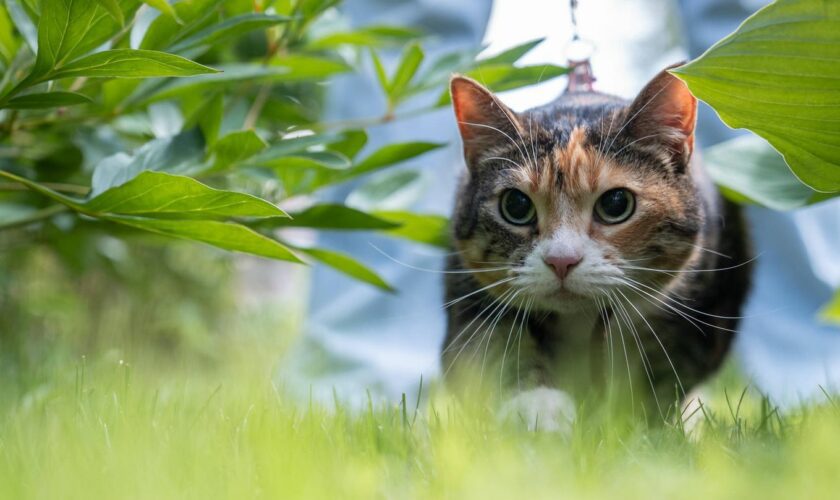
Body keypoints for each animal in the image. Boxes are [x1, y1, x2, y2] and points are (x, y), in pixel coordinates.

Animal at [442, 63, 752, 430]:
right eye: (516, 206)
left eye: (616, 203)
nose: (561, 260)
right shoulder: (471, 296)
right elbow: (495, 350)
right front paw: (539, 409)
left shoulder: (700, 312)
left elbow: (660, 374)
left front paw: (634, 420)